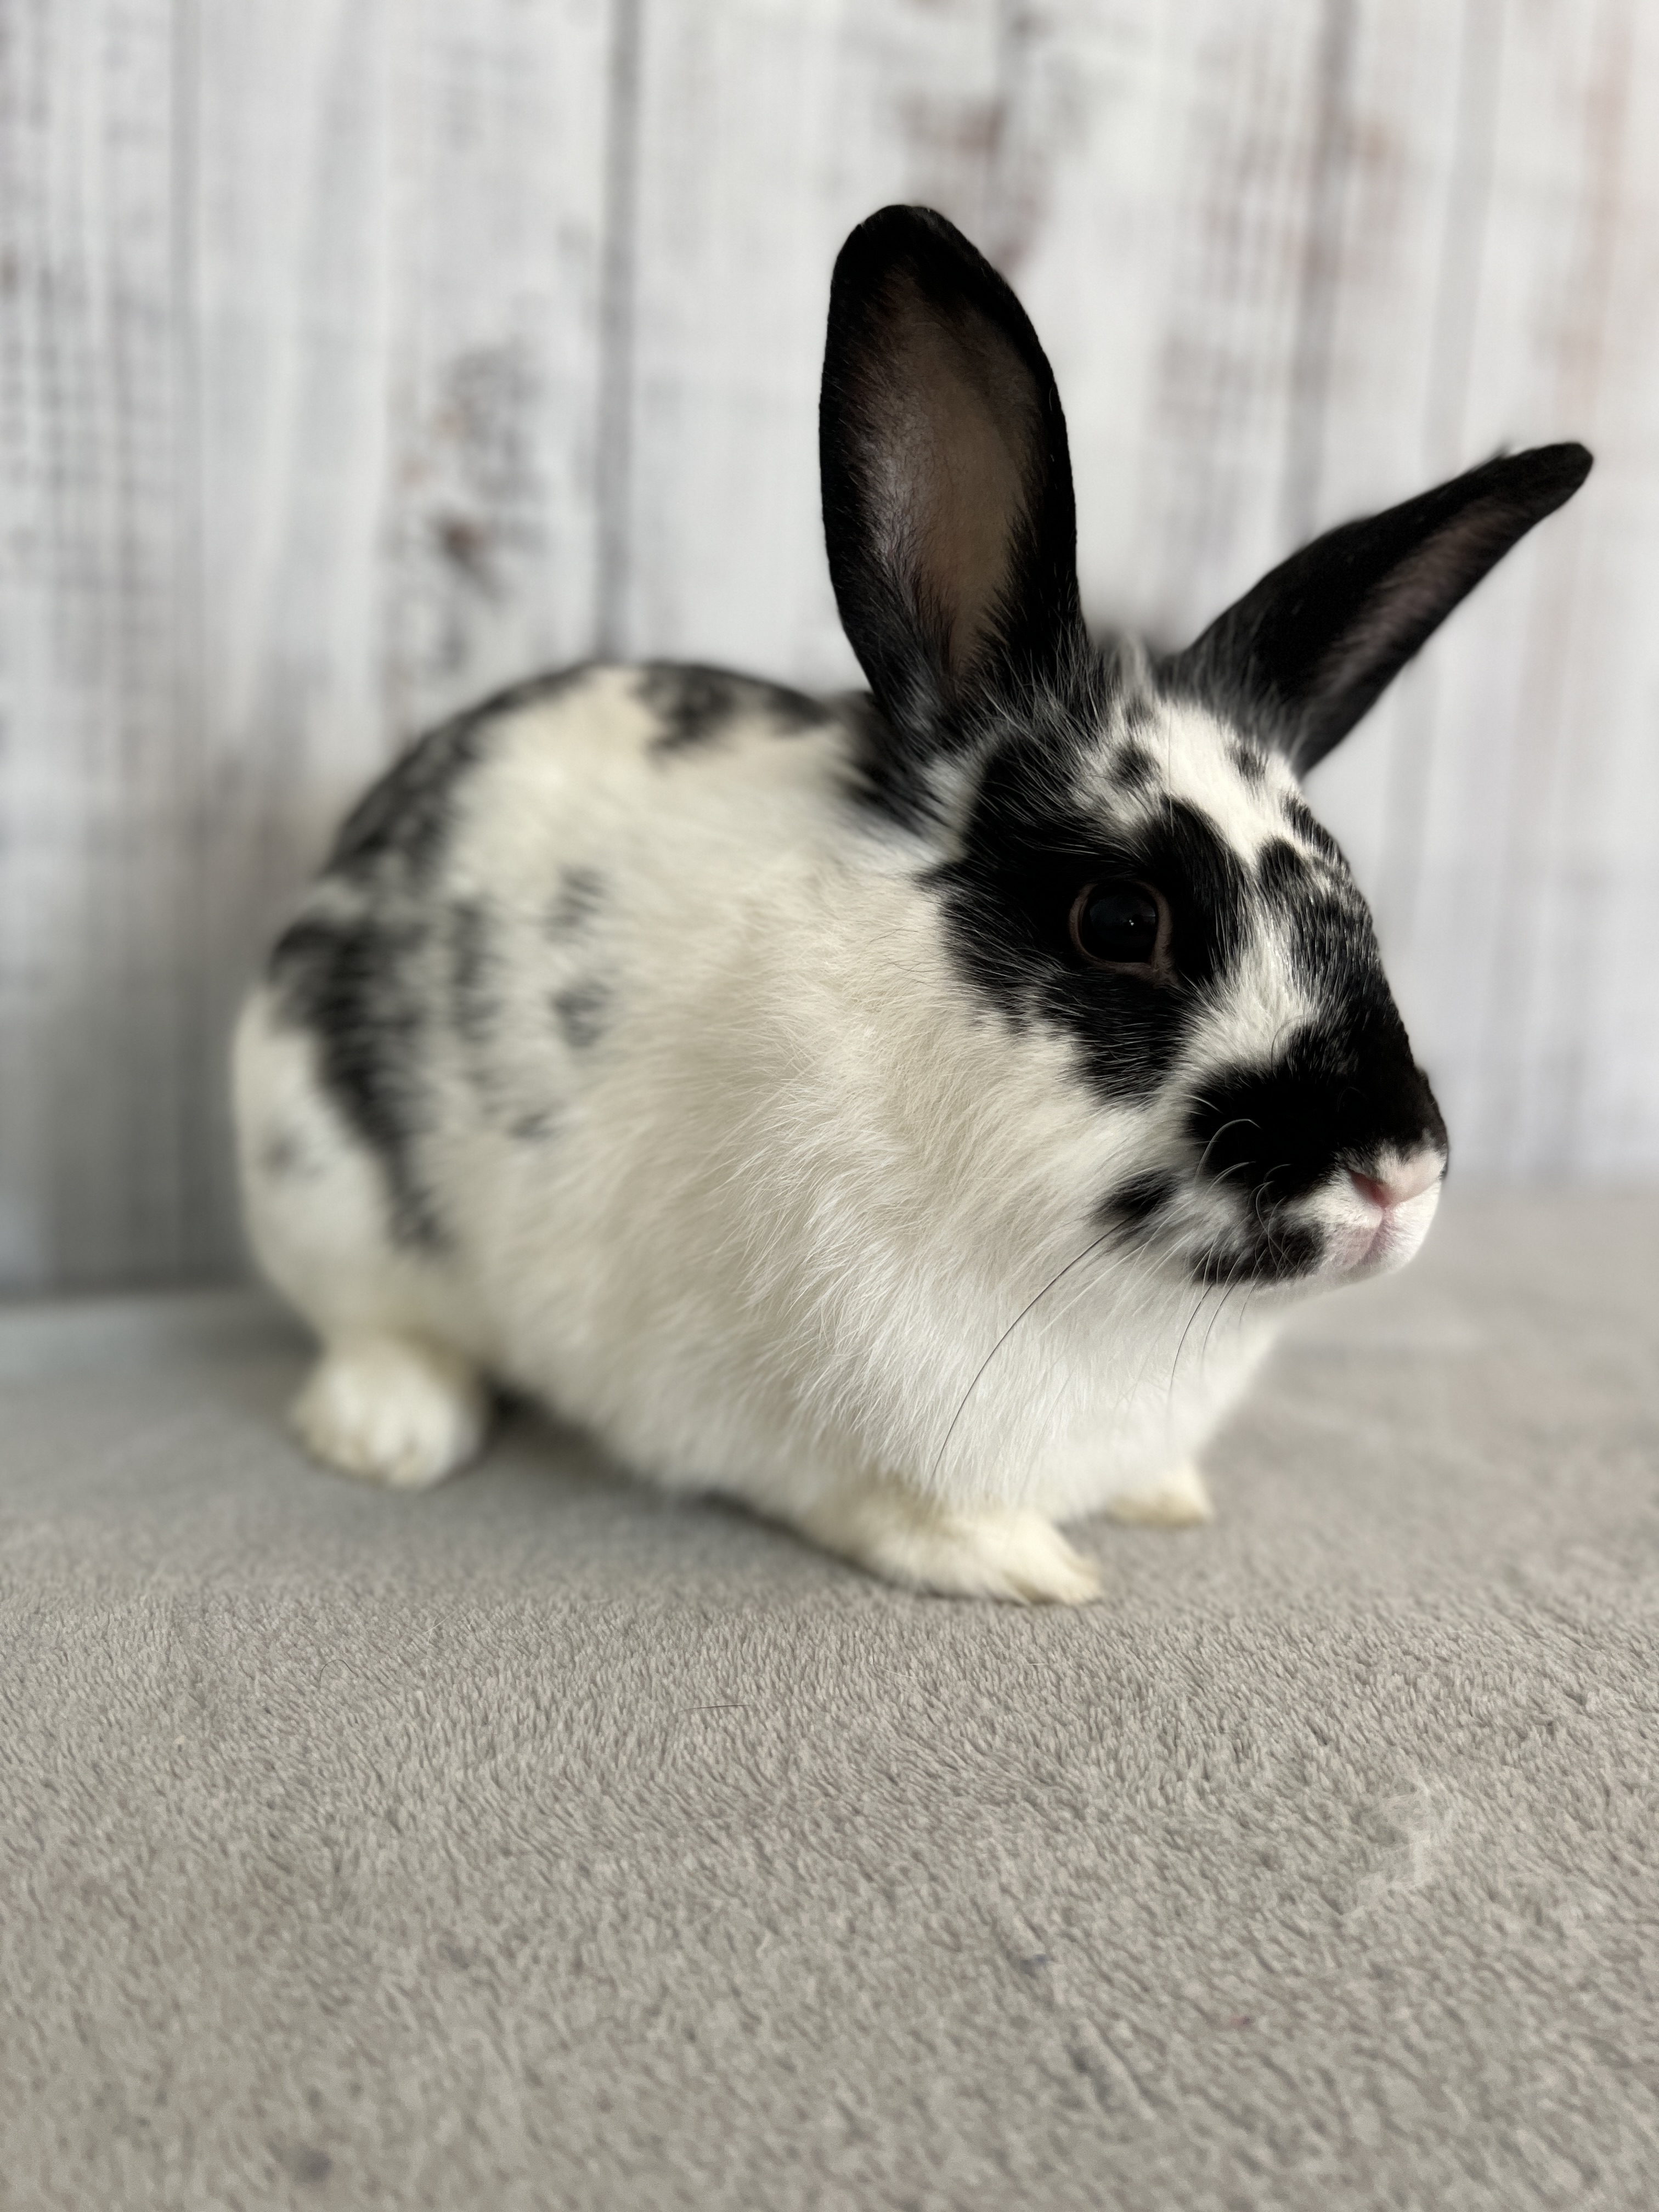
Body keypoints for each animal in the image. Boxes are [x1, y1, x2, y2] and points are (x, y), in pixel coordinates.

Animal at [233, 205, 1590, 1603]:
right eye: (1120, 922)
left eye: (1355, 892)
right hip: (320, 1184)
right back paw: (390, 1434)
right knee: (373, 1326)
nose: (1397, 1172)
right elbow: (891, 1507)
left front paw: (1167, 1498)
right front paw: (1032, 1569)